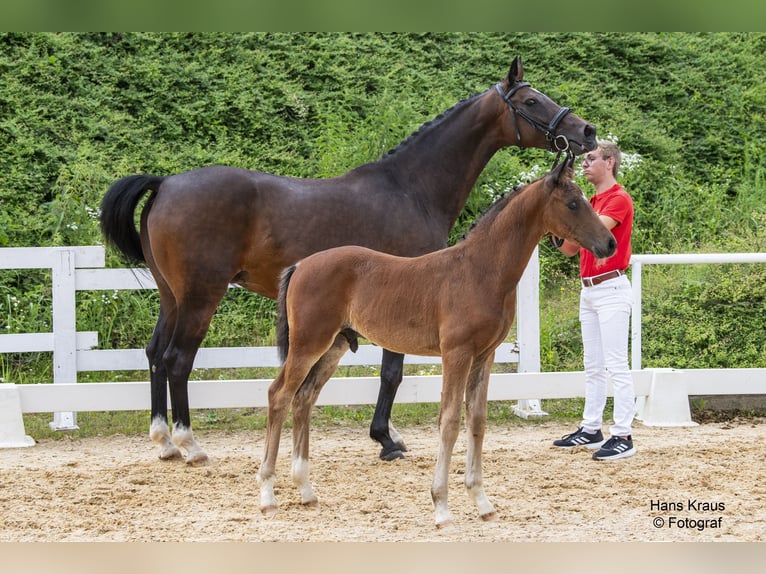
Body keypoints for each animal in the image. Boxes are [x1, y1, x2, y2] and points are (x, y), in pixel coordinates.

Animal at [99, 55, 600, 468]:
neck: (410, 188)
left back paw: (164, 440)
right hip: (202, 295)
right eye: (532, 100)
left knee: (154, 354)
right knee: (177, 358)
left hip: (171, 296)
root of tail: (165, 183)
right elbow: (392, 372)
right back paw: (189, 444)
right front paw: (386, 440)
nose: (587, 132)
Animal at [258, 159, 616, 532]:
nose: (609, 244)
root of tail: (301, 265)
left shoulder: (484, 356)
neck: (481, 270)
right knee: (279, 395)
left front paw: (482, 502)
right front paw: (442, 508)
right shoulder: (456, 354)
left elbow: (477, 421)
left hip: (334, 346)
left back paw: (306, 492)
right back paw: (268, 496)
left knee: (304, 398)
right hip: (307, 344)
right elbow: (449, 422)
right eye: (573, 203)